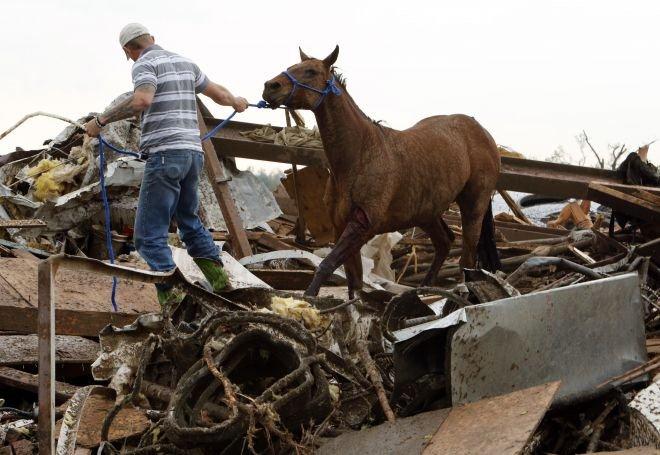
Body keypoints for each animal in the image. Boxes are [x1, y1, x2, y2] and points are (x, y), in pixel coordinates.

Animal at [262, 46, 501, 298]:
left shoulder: (363, 225)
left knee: (467, 256)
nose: (270, 87)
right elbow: (353, 278)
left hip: (473, 205)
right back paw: (424, 290)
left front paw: (310, 298)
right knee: (445, 242)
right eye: (292, 67)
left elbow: (328, 265)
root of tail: (483, 133)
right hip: (426, 213)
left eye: (311, 71)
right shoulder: (341, 225)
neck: (359, 156)